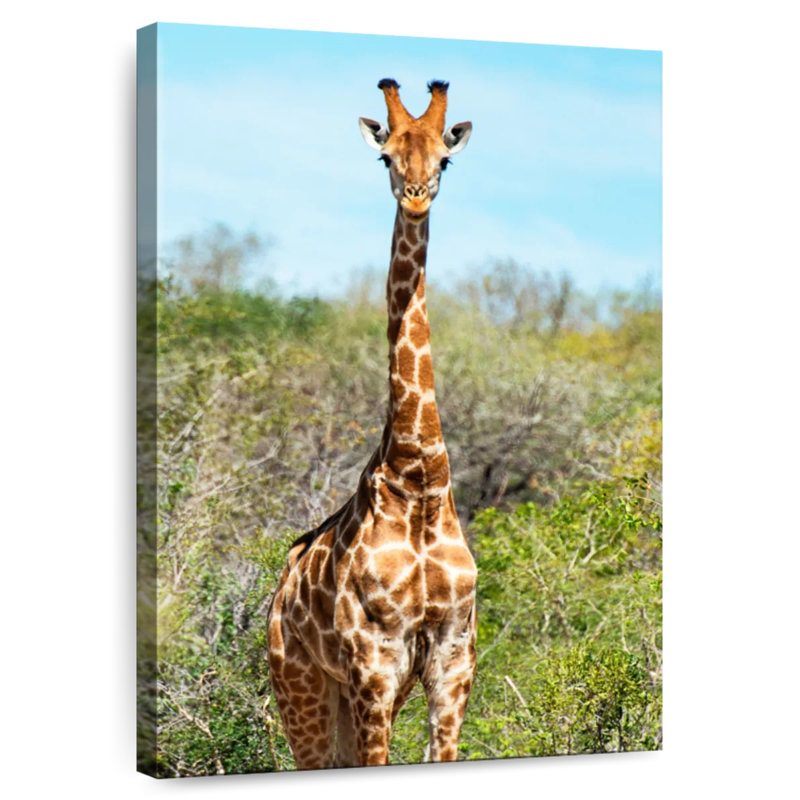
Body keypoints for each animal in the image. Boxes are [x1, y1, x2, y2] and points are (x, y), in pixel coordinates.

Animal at [266, 78, 476, 769]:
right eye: (386, 156)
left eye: (445, 160)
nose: (415, 198)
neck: (420, 475)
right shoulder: (374, 663)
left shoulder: (452, 659)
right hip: (301, 688)